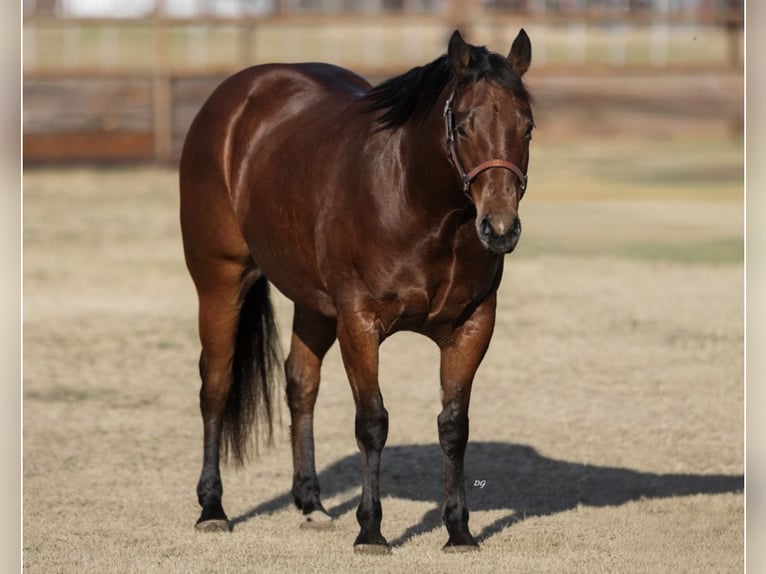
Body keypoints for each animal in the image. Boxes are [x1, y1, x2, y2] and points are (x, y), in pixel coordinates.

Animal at [179, 28, 534, 553]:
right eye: (464, 125)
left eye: (527, 127)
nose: (501, 229)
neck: (415, 202)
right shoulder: (360, 323)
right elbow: (372, 422)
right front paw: (371, 530)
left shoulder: (471, 326)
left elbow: (454, 425)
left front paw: (458, 531)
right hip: (219, 281)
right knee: (217, 385)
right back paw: (212, 508)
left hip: (313, 303)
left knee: (300, 382)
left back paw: (311, 504)